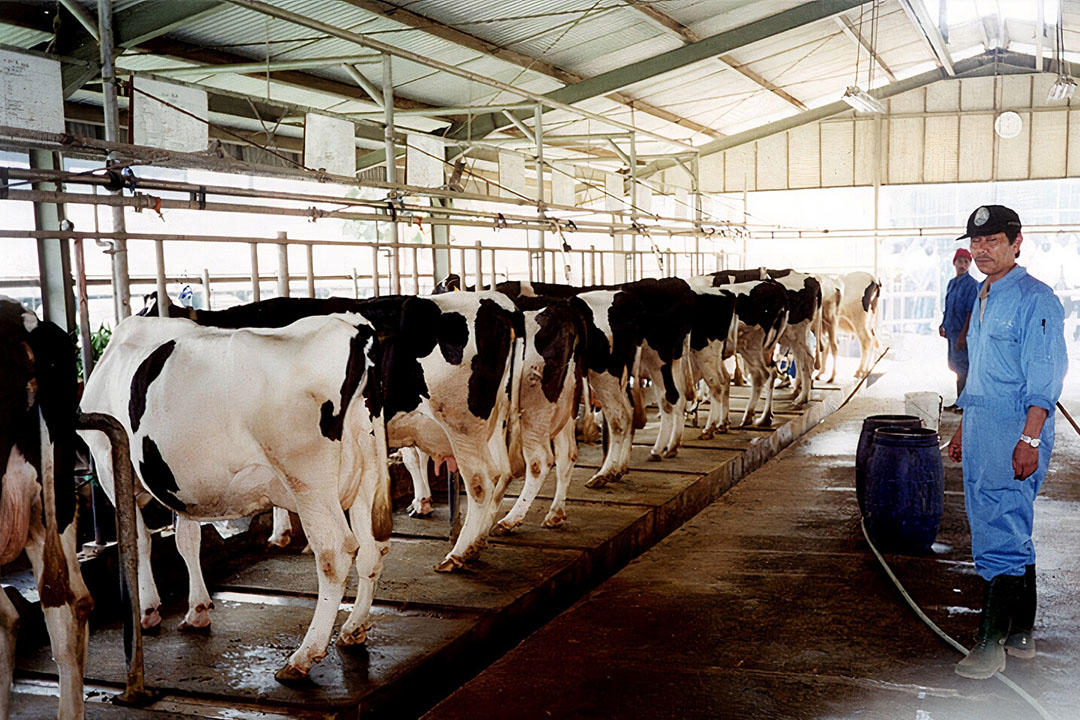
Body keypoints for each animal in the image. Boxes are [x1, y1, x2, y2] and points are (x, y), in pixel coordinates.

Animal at [79, 310, 393, 682]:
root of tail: (352, 325)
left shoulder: (108, 462)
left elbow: (138, 540)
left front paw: (148, 609)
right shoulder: (182, 481)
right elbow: (187, 539)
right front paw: (197, 610)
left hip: (308, 480)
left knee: (336, 555)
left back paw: (303, 656)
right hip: (365, 470)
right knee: (372, 550)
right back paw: (353, 629)